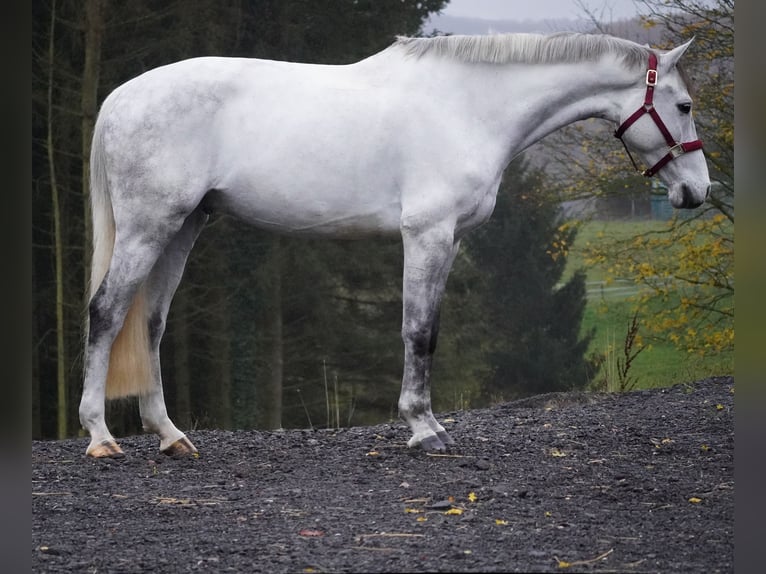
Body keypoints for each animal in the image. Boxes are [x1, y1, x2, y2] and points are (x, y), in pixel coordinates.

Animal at [79, 31, 712, 460]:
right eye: (683, 106)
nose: (698, 191)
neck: (467, 106)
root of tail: (118, 99)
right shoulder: (426, 234)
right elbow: (417, 330)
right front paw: (423, 429)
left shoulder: (449, 241)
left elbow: (429, 332)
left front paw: (428, 423)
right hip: (149, 226)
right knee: (107, 312)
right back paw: (101, 437)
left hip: (183, 225)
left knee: (150, 322)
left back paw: (170, 436)